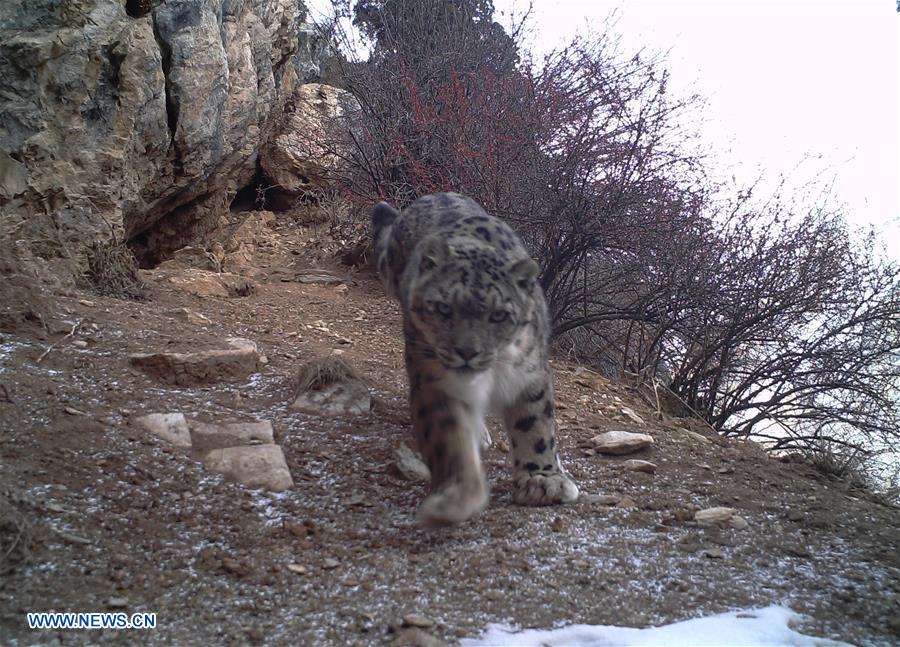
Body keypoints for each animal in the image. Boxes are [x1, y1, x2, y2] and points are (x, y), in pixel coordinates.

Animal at [372, 192, 579, 526]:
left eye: (499, 315)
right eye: (443, 308)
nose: (467, 352)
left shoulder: (529, 374)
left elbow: (535, 425)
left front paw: (543, 481)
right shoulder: (434, 380)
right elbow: (449, 437)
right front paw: (456, 497)